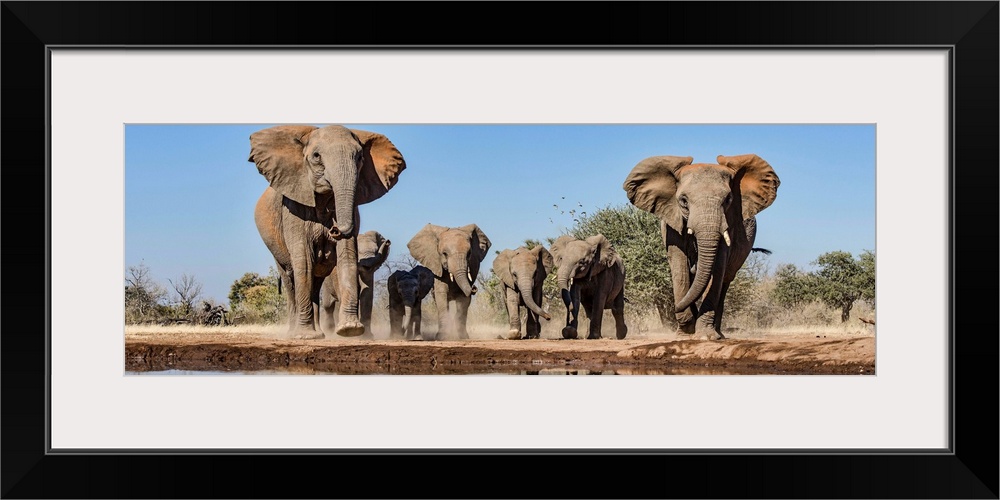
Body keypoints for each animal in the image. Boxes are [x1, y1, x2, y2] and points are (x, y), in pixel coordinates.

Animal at [248, 124, 404, 340]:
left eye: (360, 157)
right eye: (316, 156)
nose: (334, 229)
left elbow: (347, 255)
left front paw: (349, 330)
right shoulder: (292, 208)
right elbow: (304, 260)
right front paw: (305, 337)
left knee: (316, 281)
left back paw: (320, 333)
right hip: (275, 248)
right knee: (290, 279)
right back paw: (295, 333)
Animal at [624, 152, 780, 340]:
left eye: (728, 200)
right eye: (683, 201)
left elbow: (717, 268)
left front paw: (705, 335)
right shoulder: (671, 223)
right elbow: (679, 265)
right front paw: (684, 333)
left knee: (725, 281)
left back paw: (718, 333)